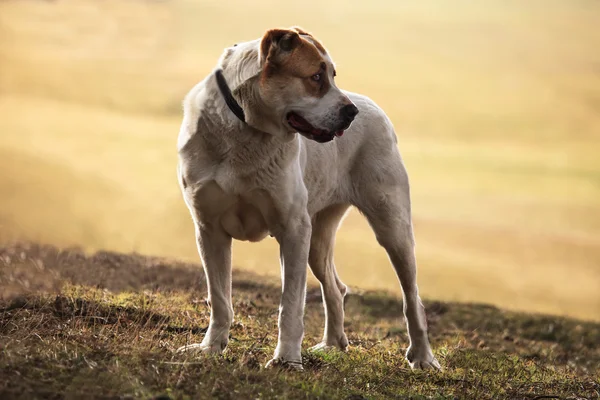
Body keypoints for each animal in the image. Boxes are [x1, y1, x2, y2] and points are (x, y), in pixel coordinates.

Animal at [176, 26, 438, 370]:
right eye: (315, 77)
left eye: (333, 75)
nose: (351, 112)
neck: (245, 129)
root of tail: (371, 104)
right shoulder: (209, 229)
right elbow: (219, 298)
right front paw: (210, 348)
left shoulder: (293, 229)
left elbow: (290, 305)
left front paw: (286, 359)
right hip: (317, 238)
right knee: (336, 288)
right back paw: (333, 344)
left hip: (391, 227)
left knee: (412, 298)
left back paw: (422, 357)